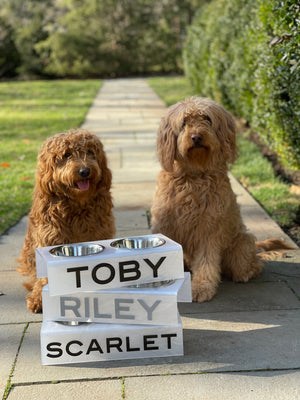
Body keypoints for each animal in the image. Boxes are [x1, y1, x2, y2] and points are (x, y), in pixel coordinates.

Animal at [17, 130, 115, 310]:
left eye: (90, 152)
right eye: (67, 155)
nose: (84, 171)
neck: (76, 205)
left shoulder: (100, 232)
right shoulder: (49, 237)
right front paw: (39, 298)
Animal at [151, 97, 292, 304]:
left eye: (207, 119)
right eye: (184, 122)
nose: (196, 137)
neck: (194, 176)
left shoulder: (209, 229)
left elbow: (206, 261)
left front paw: (201, 287)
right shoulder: (166, 224)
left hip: (241, 244)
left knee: (253, 265)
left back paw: (244, 273)